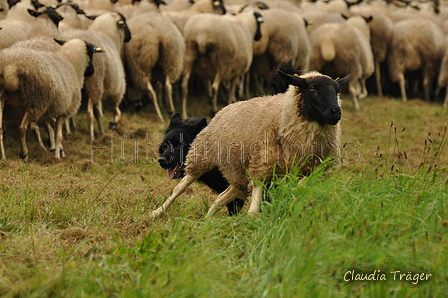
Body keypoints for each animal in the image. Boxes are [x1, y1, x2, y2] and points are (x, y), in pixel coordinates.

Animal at [149, 70, 352, 219]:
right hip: (201, 157)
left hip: (238, 177)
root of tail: (225, 108)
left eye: (337, 91)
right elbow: (253, 209)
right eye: (312, 89)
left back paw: (206, 223)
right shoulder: (262, 164)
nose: (335, 112)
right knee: (180, 187)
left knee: (221, 198)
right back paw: (157, 213)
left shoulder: (313, 171)